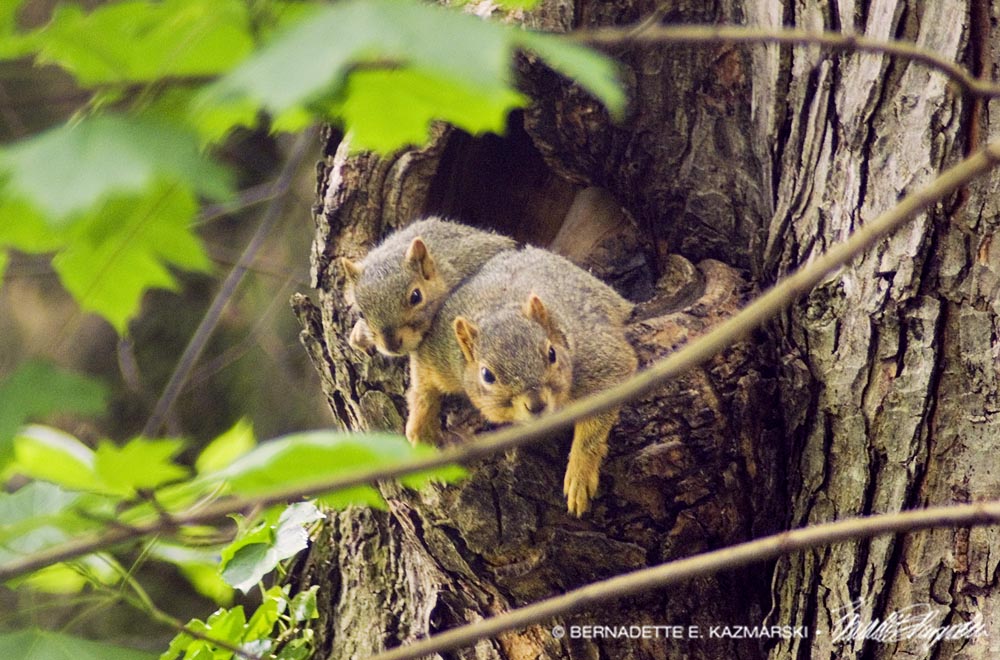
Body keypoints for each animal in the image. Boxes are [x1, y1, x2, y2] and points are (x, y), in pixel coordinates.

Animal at [413, 246, 637, 516]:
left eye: (552, 353)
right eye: (487, 375)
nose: (537, 404)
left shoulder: (596, 356)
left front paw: (579, 475)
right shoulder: (442, 354)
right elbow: (422, 382)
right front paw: (420, 429)